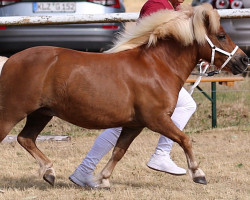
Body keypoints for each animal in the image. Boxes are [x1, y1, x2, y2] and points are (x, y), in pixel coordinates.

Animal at [0, 3, 248, 188]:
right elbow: (184, 139)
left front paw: (102, 180)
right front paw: (198, 174)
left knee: (26, 138)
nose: (244, 60)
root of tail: (10, 60)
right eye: (221, 35)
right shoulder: (156, 119)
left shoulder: (134, 124)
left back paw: (50, 172)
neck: (157, 67)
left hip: (41, 113)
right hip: (12, 112)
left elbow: (119, 151)